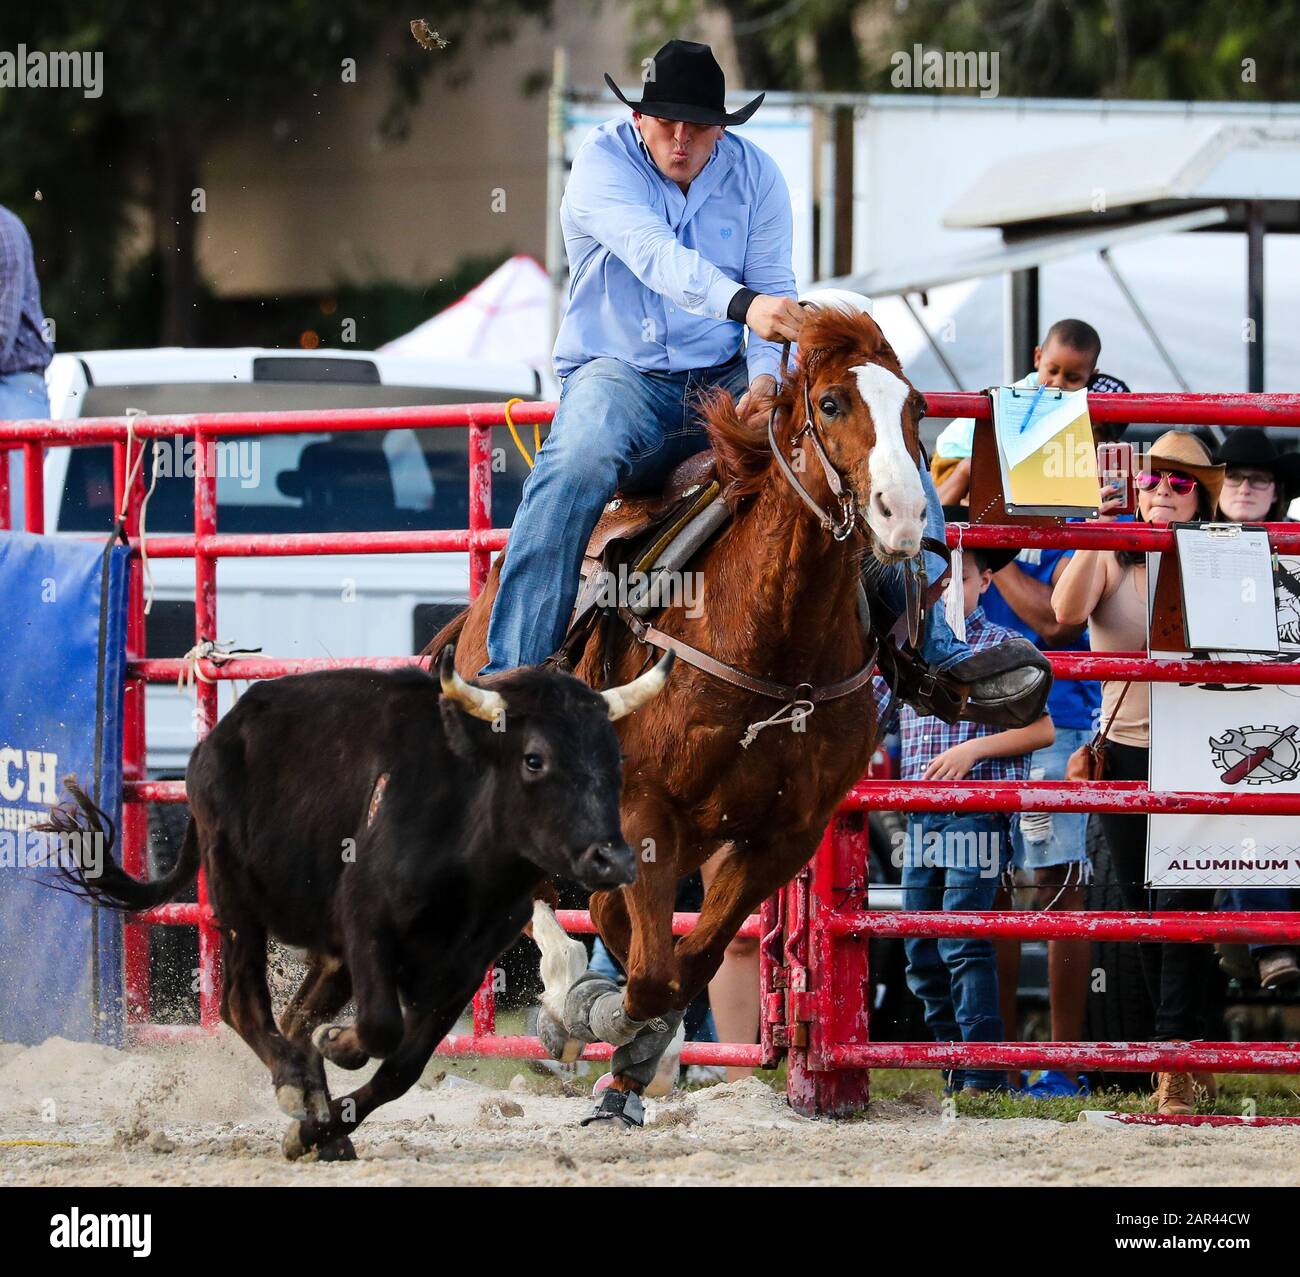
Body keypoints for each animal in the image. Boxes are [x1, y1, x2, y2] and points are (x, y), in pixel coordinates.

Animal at [431, 292, 930, 1118]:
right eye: (831, 402)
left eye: (916, 408)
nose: (904, 514)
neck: (771, 639)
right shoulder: (645, 811)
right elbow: (654, 970)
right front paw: (602, 1017)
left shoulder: (781, 838)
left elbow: (686, 962)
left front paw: (637, 1061)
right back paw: (565, 990)